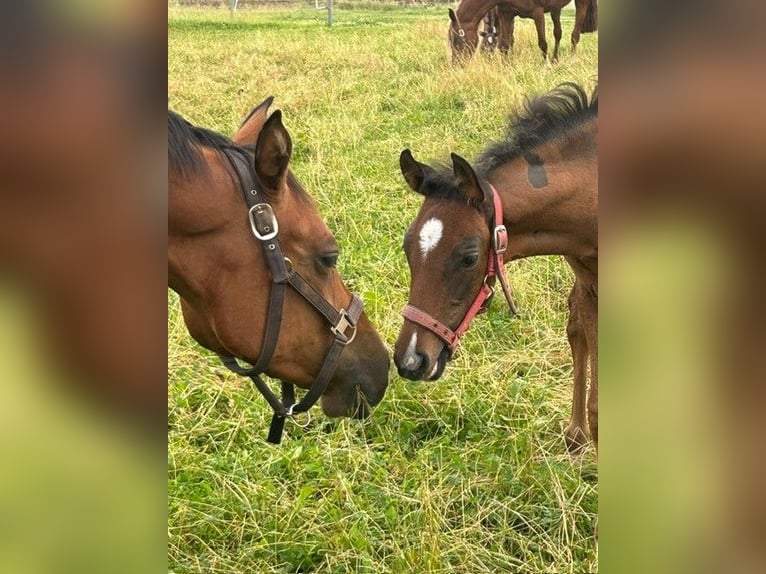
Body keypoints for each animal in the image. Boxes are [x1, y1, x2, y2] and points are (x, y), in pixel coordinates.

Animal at [450, 0, 600, 64]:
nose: (456, 64)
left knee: (575, 35)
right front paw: (507, 66)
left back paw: (572, 59)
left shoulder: (537, 12)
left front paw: (546, 65)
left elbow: (542, 43)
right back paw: (555, 59)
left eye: (456, 39)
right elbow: (504, 45)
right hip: (555, 7)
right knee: (558, 33)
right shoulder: (506, 13)